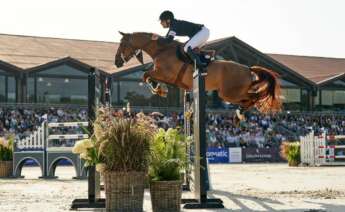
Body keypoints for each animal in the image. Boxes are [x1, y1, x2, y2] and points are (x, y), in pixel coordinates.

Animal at [114, 32, 280, 120]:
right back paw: (240, 114)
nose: (117, 63)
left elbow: (146, 75)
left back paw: (240, 114)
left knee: (253, 98)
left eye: (122, 44)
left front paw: (159, 89)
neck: (162, 50)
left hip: (229, 93)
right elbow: (147, 75)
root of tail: (247, 68)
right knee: (251, 97)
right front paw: (160, 89)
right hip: (231, 93)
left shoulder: (165, 74)